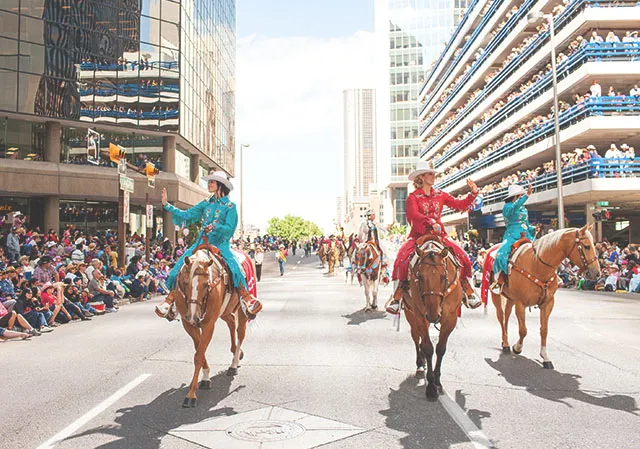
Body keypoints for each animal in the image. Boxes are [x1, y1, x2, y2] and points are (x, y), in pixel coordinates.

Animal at [172, 245, 248, 406]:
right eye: (185, 283)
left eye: (206, 284)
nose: (193, 316)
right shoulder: (188, 324)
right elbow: (199, 350)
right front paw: (206, 377)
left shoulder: (208, 324)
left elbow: (198, 355)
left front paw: (191, 395)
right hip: (225, 311)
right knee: (231, 322)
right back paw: (236, 353)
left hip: (242, 309)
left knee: (240, 332)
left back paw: (234, 363)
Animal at [402, 234, 462, 400]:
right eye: (420, 277)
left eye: (443, 276)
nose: (433, 315)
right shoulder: (420, 317)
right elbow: (428, 348)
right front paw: (430, 387)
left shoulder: (450, 318)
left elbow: (440, 348)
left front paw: (437, 380)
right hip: (411, 316)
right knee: (416, 338)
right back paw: (420, 365)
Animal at [484, 224, 600, 368]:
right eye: (587, 246)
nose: (597, 273)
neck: (537, 265)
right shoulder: (520, 303)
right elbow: (523, 330)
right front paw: (517, 347)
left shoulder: (548, 303)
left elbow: (544, 330)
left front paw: (545, 357)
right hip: (496, 295)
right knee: (501, 316)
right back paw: (505, 343)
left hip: (510, 298)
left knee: (506, 316)